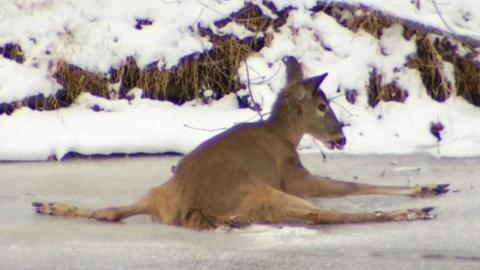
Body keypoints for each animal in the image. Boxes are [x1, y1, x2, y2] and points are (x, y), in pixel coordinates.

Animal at [33, 56, 450, 230]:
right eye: (322, 105)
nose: (341, 137)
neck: (283, 136)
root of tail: (191, 208)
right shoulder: (294, 175)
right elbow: (349, 185)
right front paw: (427, 188)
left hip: (159, 190)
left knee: (112, 211)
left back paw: (49, 204)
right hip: (264, 192)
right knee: (323, 215)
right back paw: (416, 211)